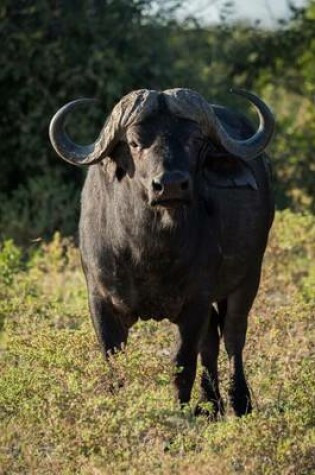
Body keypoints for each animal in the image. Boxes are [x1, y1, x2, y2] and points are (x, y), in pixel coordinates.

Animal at [48, 88, 274, 416]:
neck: (148, 253)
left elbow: (183, 364)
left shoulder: (196, 300)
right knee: (212, 339)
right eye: (134, 142)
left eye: (195, 140)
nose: (170, 185)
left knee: (233, 336)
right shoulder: (100, 300)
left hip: (248, 279)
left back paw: (239, 401)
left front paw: (181, 413)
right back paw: (210, 404)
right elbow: (114, 363)